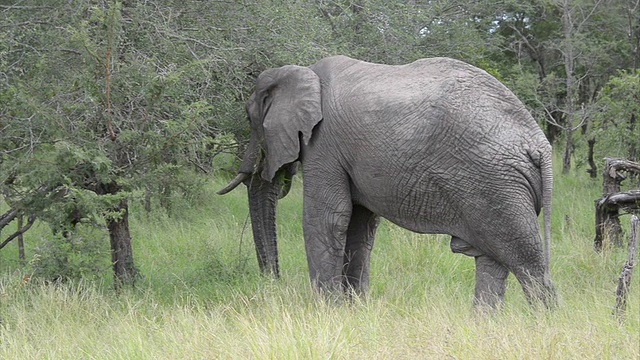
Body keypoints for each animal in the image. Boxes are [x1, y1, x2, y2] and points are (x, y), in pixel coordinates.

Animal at [219, 54, 556, 308]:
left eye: (250, 119)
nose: (272, 280)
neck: (304, 71)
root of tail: (539, 143)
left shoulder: (324, 144)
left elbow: (328, 219)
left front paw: (326, 311)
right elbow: (358, 227)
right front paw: (353, 309)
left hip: (495, 183)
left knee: (527, 264)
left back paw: (542, 322)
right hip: (497, 186)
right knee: (492, 261)